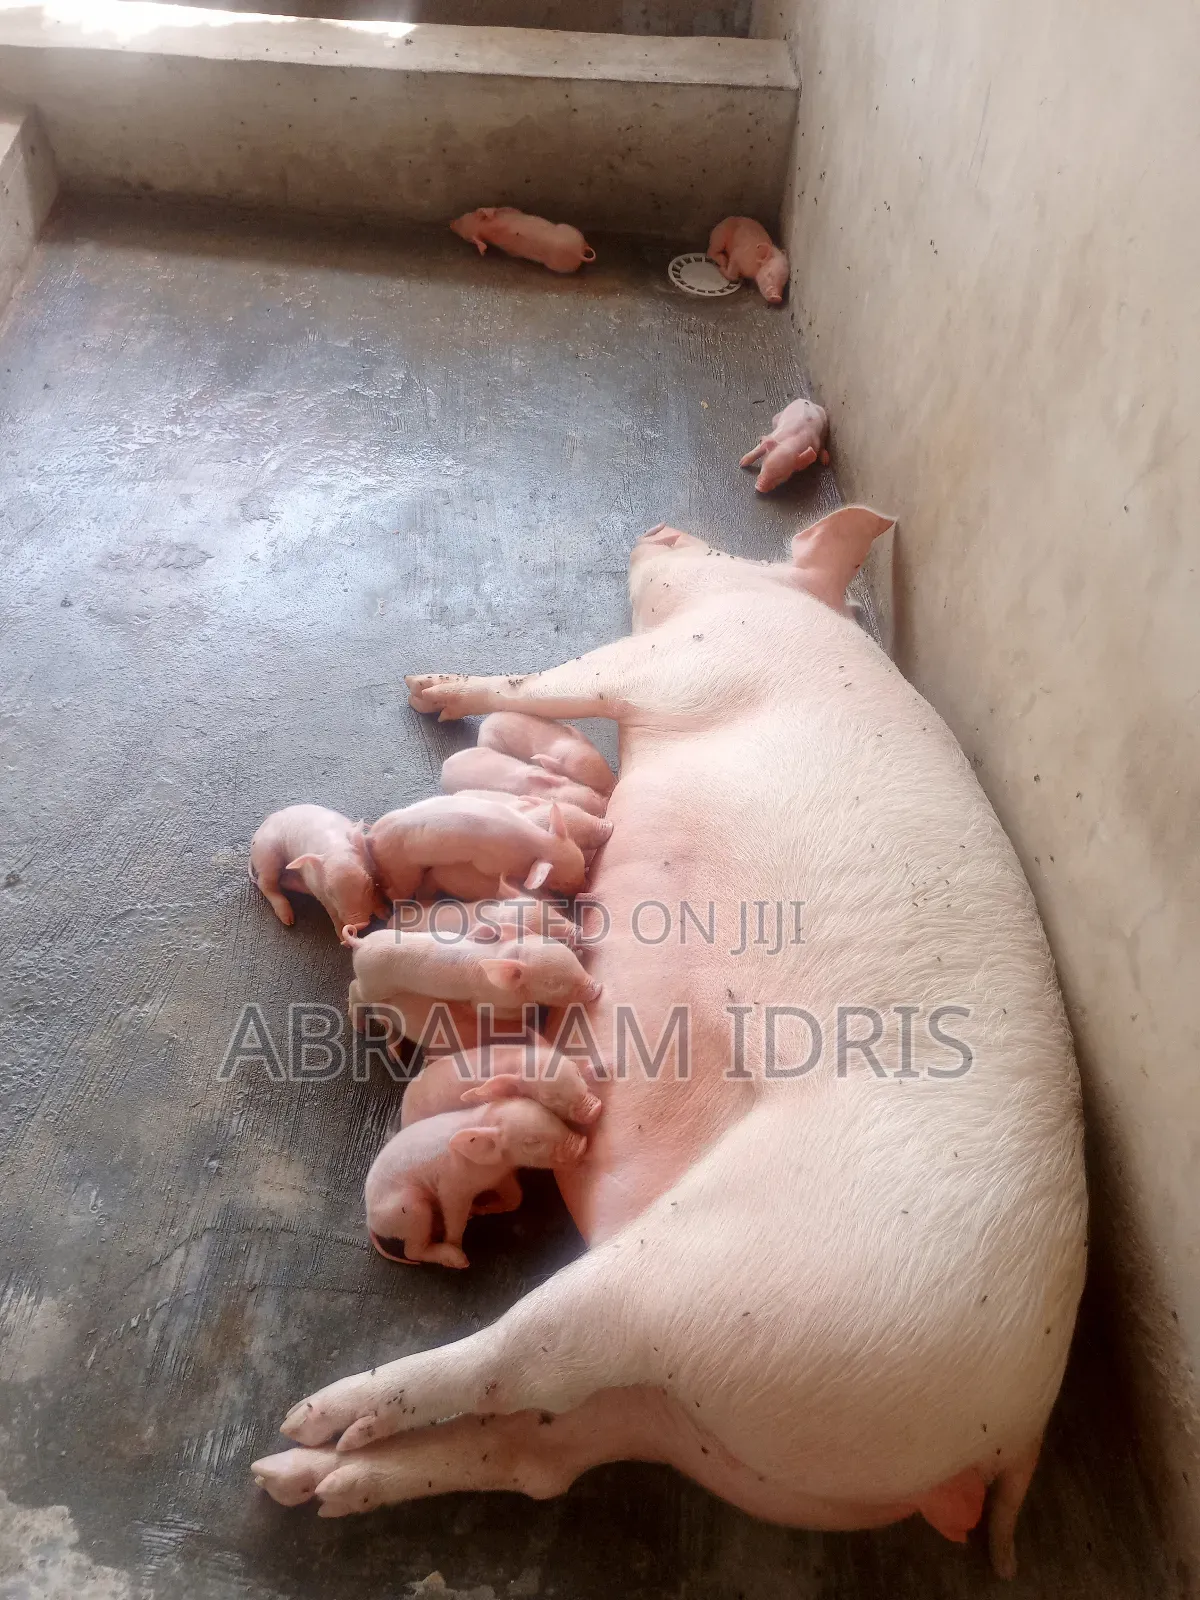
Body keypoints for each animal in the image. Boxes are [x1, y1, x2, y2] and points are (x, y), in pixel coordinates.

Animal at [248, 804, 386, 936]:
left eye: (367, 884)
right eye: (330, 893)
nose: (360, 924)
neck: (335, 847)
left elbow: (376, 895)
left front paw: (385, 915)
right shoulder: (317, 888)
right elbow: (332, 912)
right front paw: (342, 939)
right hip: (267, 857)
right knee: (265, 884)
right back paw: (289, 921)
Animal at [342, 926, 601, 1017]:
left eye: (571, 959)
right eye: (552, 983)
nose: (598, 987)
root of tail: (360, 944)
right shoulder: (488, 1000)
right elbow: (481, 1009)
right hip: (374, 984)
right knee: (354, 988)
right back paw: (356, 1022)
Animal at [363, 1098, 588, 1268]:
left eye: (551, 1115)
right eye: (532, 1142)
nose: (581, 1144)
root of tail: (371, 1221)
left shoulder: (501, 1176)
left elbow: (516, 1198)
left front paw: (480, 1209)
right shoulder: (452, 1187)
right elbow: (455, 1219)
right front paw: (461, 1248)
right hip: (410, 1210)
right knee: (412, 1251)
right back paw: (457, 1259)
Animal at [366, 794, 586, 907]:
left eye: (584, 862)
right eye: (563, 882)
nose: (580, 891)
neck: (539, 843)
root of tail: (372, 836)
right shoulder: (491, 863)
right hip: (402, 870)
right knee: (394, 890)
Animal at [450, 208, 596, 275]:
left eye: (463, 218)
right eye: (467, 238)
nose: (450, 223)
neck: (486, 229)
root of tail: (578, 253)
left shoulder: (510, 210)